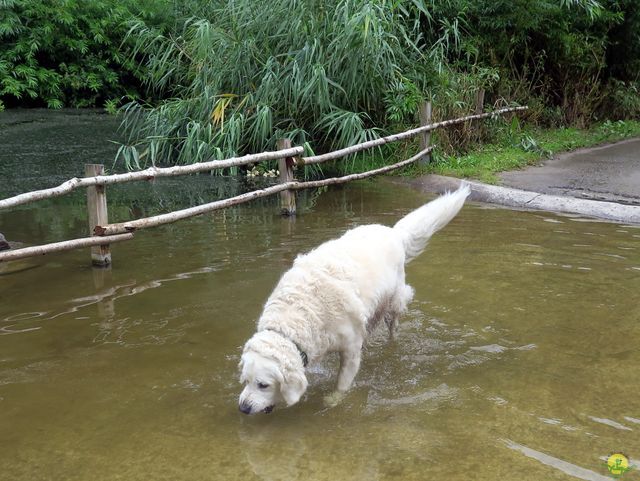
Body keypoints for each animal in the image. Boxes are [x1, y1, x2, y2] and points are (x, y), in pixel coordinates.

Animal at [238, 184, 468, 412]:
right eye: (245, 381)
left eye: (263, 385)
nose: (243, 408)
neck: (295, 315)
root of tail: (393, 231)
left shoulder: (349, 350)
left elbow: (342, 382)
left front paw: (334, 400)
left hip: (393, 302)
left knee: (392, 326)